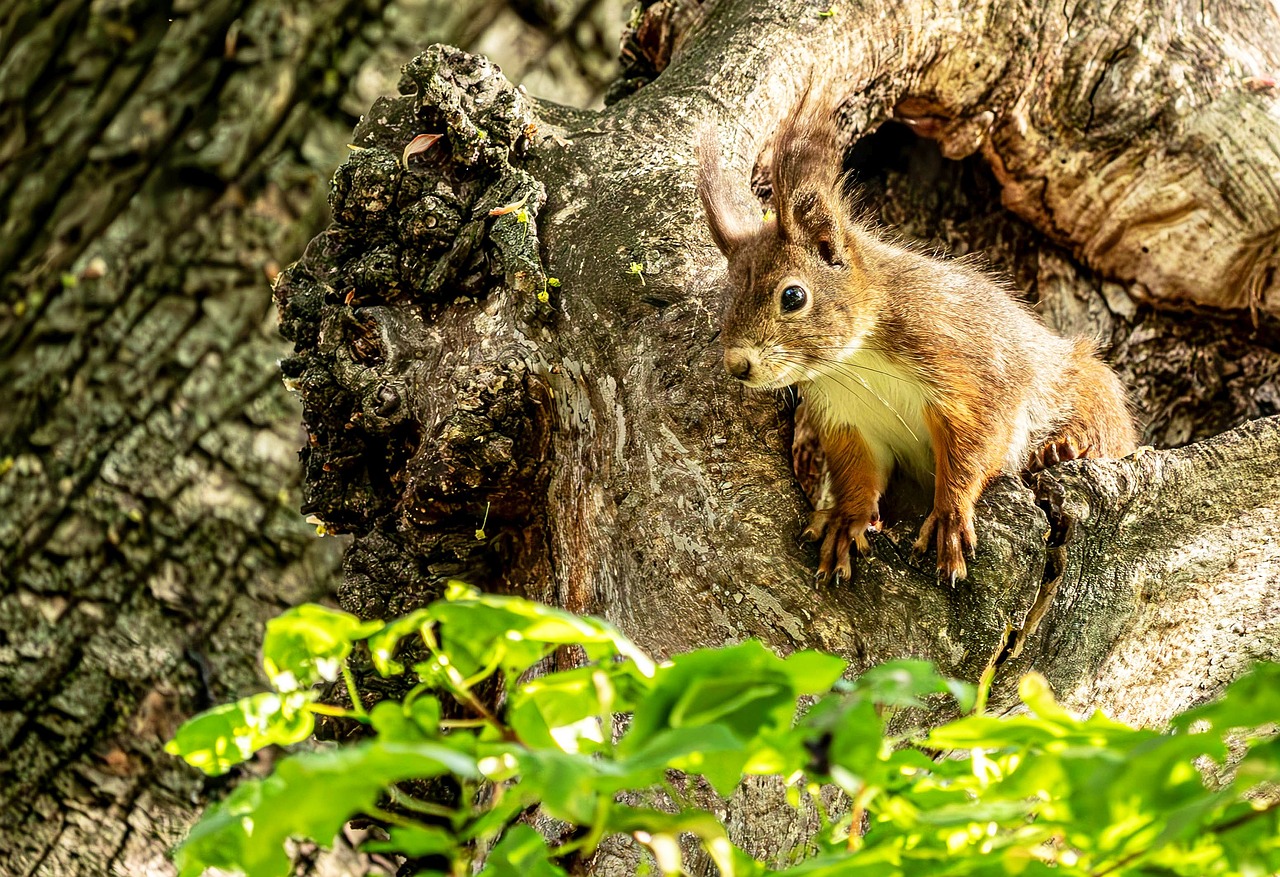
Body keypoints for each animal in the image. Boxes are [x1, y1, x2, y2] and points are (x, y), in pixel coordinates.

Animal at [698, 106, 1137, 585]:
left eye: (793, 296)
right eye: (724, 300)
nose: (737, 364)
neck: (855, 363)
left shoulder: (967, 367)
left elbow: (974, 447)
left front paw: (950, 514)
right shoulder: (849, 420)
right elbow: (859, 472)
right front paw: (846, 520)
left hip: (1088, 386)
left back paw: (1062, 448)